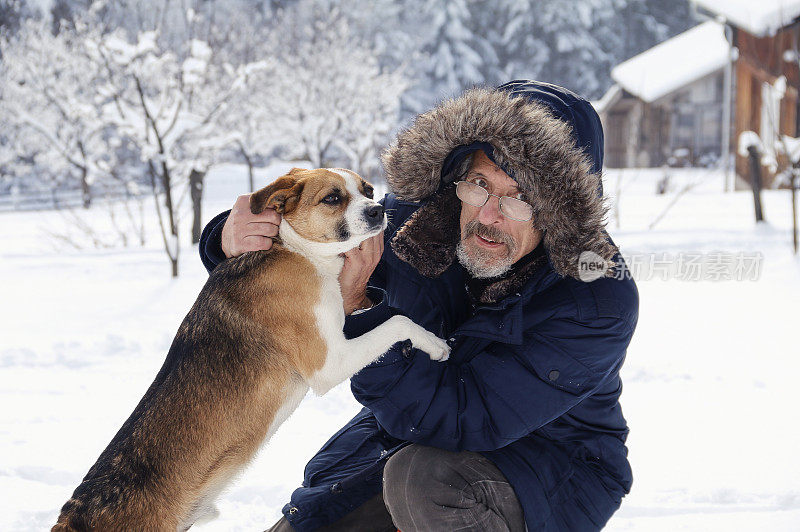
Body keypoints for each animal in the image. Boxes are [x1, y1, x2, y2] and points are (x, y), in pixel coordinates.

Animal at [50, 167, 450, 532]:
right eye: (333, 198)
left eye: (367, 190)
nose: (378, 210)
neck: (293, 249)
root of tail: (73, 517)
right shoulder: (328, 362)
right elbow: (399, 321)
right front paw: (436, 344)